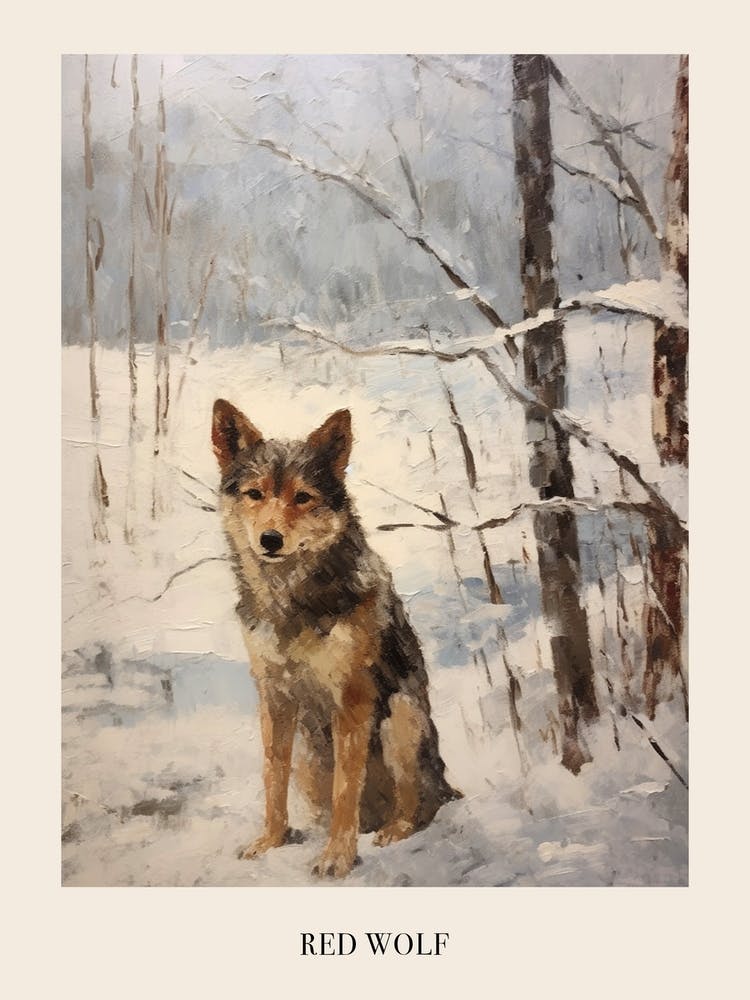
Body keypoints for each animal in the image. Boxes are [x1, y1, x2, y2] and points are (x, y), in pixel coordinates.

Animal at [212, 400, 459, 878]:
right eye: (255, 494)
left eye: (302, 497)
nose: (270, 539)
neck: (290, 600)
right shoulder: (273, 695)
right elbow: (272, 778)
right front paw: (271, 841)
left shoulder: (353, 698)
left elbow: (347, 788)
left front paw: (337, 858)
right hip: (310, 759)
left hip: (401, 719)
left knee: (418, 805)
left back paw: (390, 832)